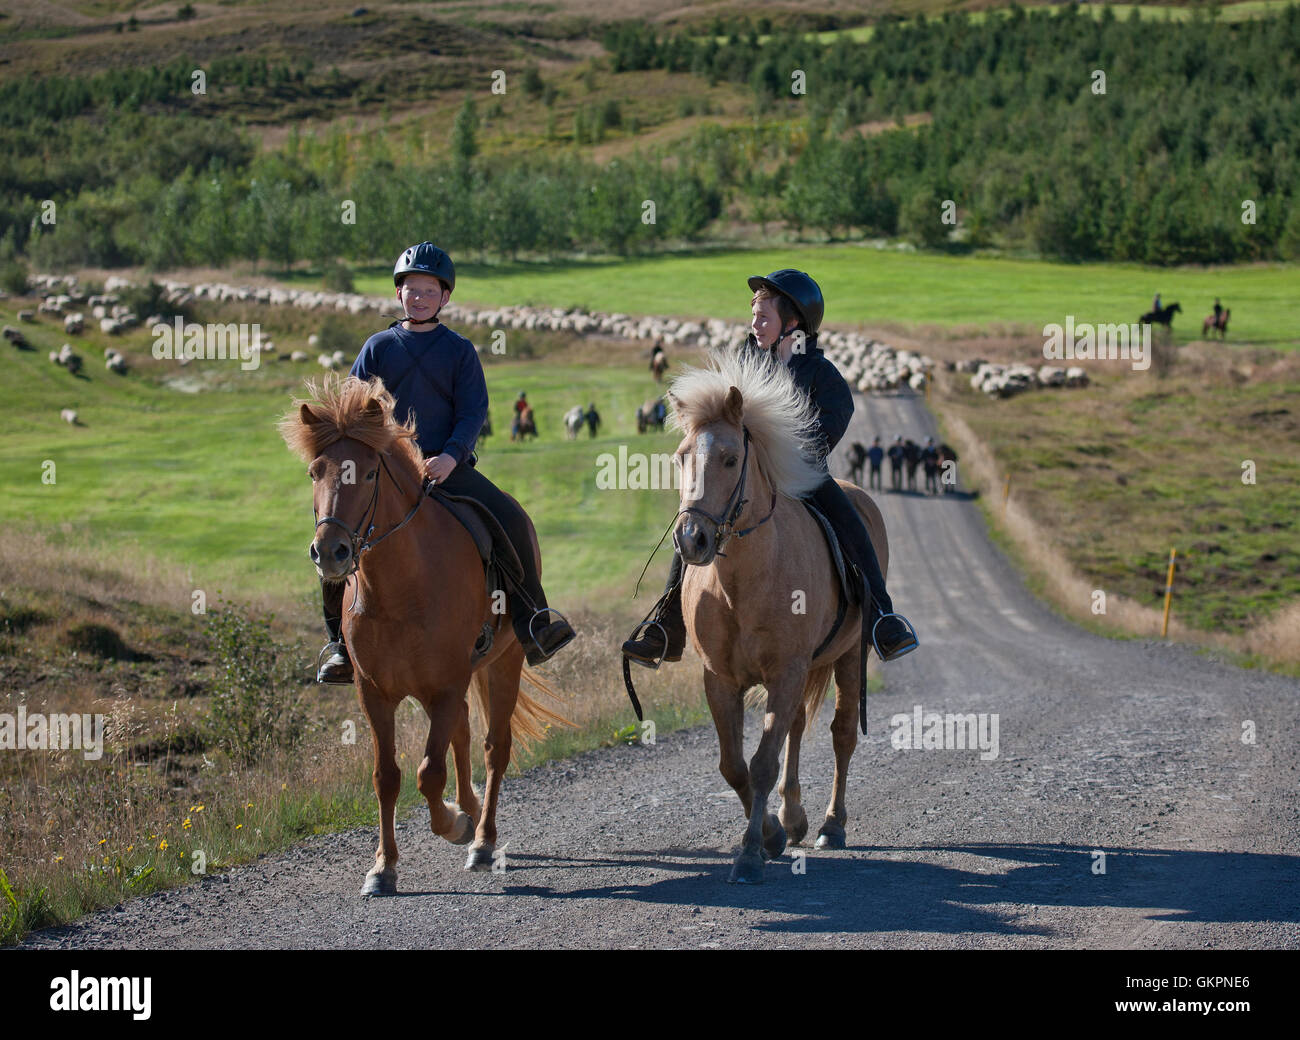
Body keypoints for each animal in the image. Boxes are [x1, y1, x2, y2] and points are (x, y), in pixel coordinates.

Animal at [276, 379, 566, 894]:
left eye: (370, 473)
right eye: (314, 472)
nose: (330, 552)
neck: (400, 589)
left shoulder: (446, 684)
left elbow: (429, 773)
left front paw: (454, 825)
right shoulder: (376, 694)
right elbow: (386, 777)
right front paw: (382, 868)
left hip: (504, 662)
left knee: (494, 747)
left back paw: (482, 838)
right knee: (464, 735)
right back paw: (471, 810)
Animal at [665, 351, 889, 883]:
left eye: (730, 458)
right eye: (682, 457)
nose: (691, 540)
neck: (742, 584)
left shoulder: (787, 671)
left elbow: (763, 762)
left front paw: (750, 853)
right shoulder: (720, 679)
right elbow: (735, 765)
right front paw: (769, 833)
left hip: (850, 656)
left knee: (841, 734)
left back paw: (831, 825)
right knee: (796, 729)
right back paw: (793, 818)